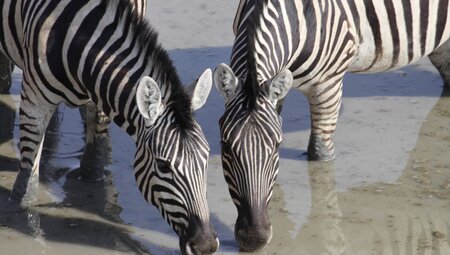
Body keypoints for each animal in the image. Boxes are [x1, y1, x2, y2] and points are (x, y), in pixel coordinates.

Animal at [0, 0, 218, 253]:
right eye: (163, 166)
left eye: (207, 157)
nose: (206, 245)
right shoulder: (34, 101)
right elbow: (27, 183)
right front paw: (24, 218)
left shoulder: (104, 95)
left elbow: (94, 160)